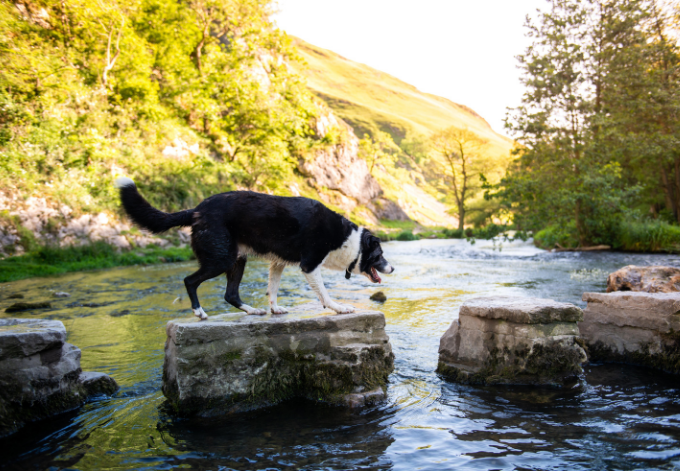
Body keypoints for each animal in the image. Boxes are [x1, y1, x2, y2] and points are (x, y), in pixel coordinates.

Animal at [115, 177, 396, 320]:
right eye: (380, 255)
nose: (393, 268)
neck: (347, 239)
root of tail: (196, 210)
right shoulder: (309, 265)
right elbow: (325, 295)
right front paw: (339, 308)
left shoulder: (278, 263)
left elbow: (272, 289)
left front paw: (274, 309)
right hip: (221, 258)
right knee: (189, 280)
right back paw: (199, 311)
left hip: (237, 260)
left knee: (230, 294)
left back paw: (253, 310)